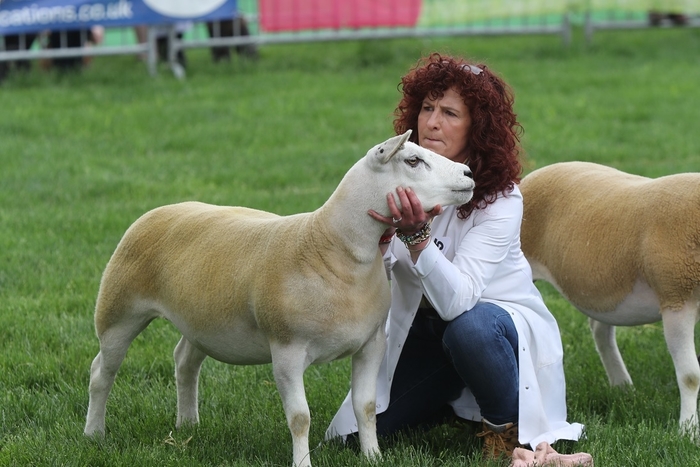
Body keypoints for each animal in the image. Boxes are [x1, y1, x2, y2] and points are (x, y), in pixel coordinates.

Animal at [83, 130, 475, 467]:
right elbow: (300, 418)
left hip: (202, 320)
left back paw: (188, 425)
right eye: (413, 160)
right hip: (118, 310)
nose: (469, 172)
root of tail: (161, 209)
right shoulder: (287, 350)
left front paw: (373, 457)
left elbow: (366, 407)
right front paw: (302, 463)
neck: (333, 248)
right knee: (102, 372)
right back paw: (94, 434)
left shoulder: (372, 343)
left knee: (184, 361)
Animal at [519, 161, 700, 436]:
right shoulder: (676, 298)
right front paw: (688, 432)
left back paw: (622, 387)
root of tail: (534, 175)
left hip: (605, 288)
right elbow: (690, 375)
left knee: (600, 329)